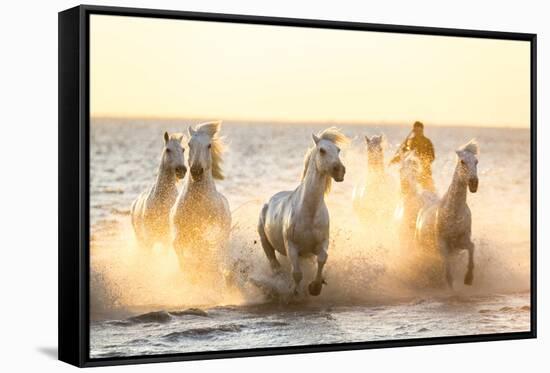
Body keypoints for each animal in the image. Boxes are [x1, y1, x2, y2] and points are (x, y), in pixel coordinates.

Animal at [172, 120, 233, 272]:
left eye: (209, 145)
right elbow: (178, 247)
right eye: (189, 144)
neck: (198, 204)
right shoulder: (181, 232)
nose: (196, 171)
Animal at [260, 128, 350, 296]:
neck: (309, 212)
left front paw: (315, 287)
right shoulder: (292, 247)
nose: (340, 171)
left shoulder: (321, 243)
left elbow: (322, 258)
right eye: (322, 150)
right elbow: (297, 273)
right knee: (274, 264)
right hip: (265, 241)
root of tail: (270, 200)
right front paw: (296, 292)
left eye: (338, 150)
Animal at [418, 140, 478, 288]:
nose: (474, 183)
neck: (453, 213)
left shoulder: (460, 242)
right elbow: (447, 271)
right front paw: (450, 285)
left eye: (476, 162)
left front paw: (468, 279)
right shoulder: (443, 245)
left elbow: (472, 247)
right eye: (462, 161)